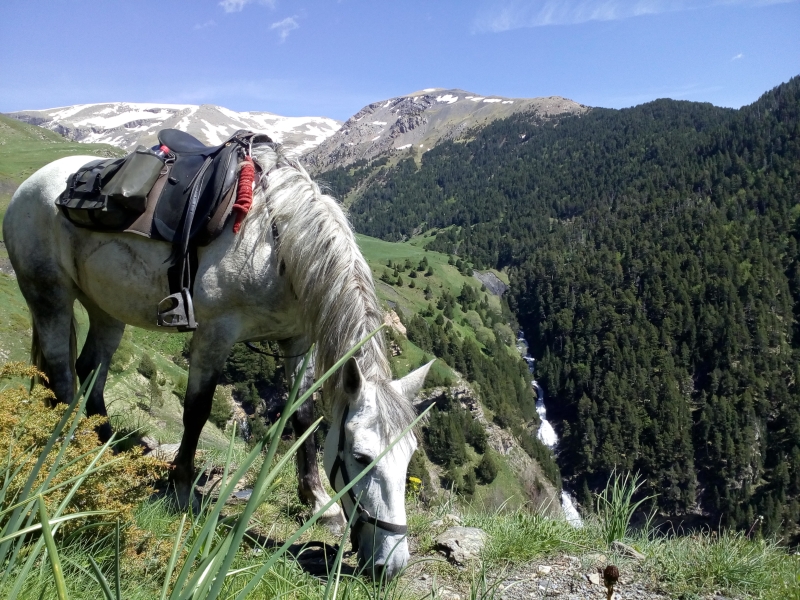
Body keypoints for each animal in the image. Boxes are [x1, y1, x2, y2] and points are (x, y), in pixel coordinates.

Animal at [4, 143, 432, 580]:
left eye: (408, 457)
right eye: (361, 457)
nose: (391, 565)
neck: (277, 243)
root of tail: (35, 182)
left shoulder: (298, 341)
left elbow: (303, 417)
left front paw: (318, 503)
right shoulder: (215, 333)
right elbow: (197, 410)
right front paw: (182, 489)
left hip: (107, 306)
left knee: (92, 368)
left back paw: (107, 449)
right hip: (49, 294)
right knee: (61, 370)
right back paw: (71, 447)